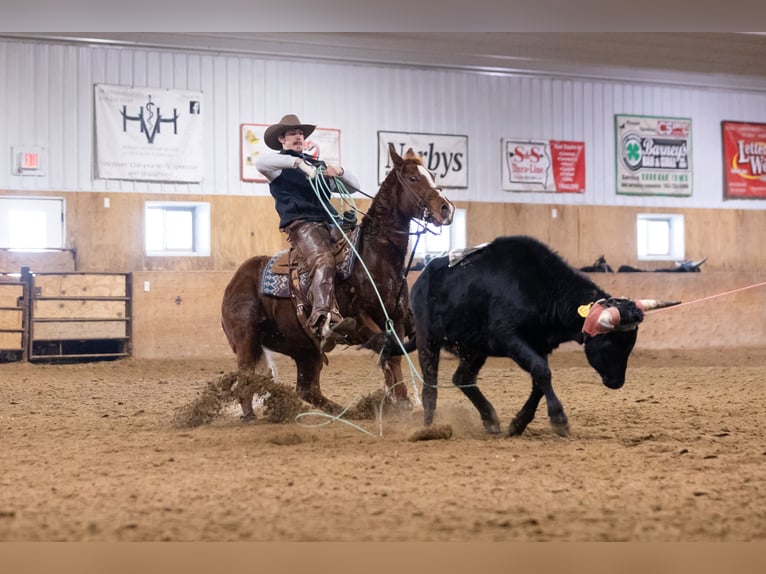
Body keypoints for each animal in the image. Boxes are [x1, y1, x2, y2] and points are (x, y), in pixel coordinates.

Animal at [221, 143, 456, 420]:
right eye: (412, 178)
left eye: (431, 174)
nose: (446, 209)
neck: (374, 257)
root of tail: (235, 281)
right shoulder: (360, 320)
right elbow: (385, 347)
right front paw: (399, 400)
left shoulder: (395, 317)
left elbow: (394, 354)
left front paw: (400, 400)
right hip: (246, 340)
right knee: (245, 378)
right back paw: (250, 415)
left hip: (304, 348)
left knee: (308, 389)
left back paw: (348, 412)